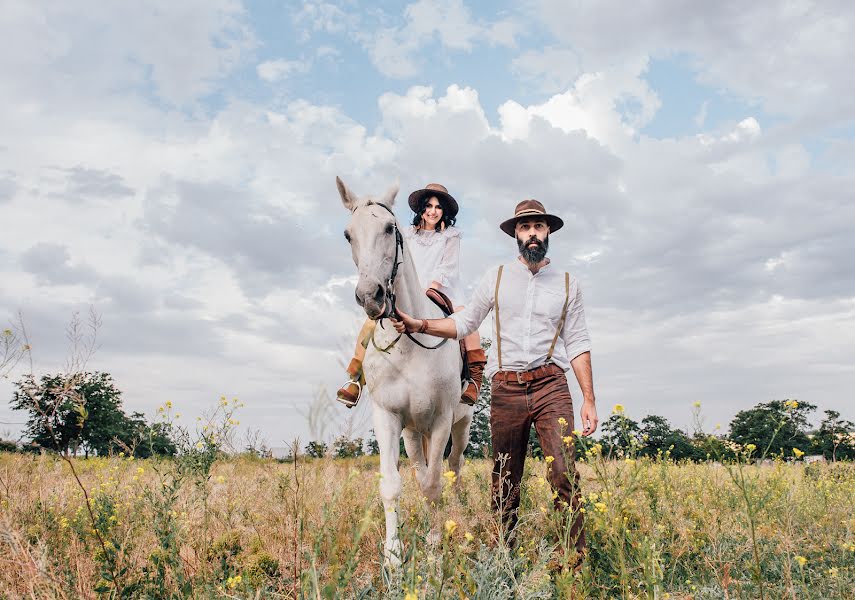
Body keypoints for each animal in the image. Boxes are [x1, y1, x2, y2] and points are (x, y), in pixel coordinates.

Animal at [336, 176, 474, 564]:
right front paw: (394, 555)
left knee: (453, 467)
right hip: (414, 434)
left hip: (461, 425)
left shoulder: (442, 419)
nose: (371, 296)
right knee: (421, 468)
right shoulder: (389, 417)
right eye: (348, 234)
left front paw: (435, 546)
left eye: (389, 227)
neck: (410, 346)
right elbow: (393, 484)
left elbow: (433, 483)